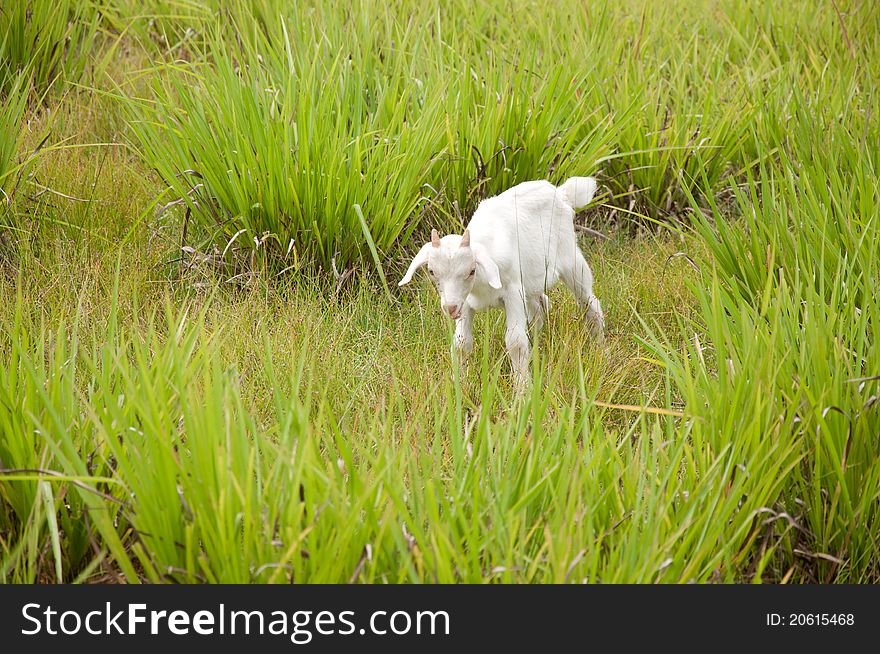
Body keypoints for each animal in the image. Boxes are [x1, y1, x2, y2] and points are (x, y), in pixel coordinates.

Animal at [398, 177, 604, 386]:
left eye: (471, 271)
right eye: (432, 271)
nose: (450, 308)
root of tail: (562, 192)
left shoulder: (513, 292)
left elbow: (515, 342)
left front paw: (523, 388)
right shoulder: (466, 301)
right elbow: (461, 343)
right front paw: (460, 384)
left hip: (571, 260)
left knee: (590, 302)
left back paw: (599, 347)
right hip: (532, 281)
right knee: (540, 306)